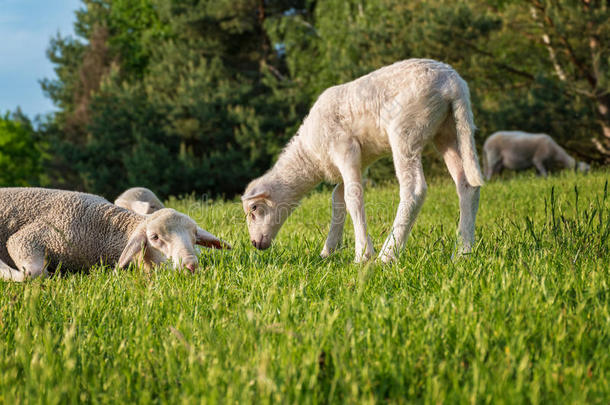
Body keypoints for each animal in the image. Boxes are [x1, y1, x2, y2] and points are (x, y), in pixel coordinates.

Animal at [240, 58, 482, 264]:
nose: (255, 244)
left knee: (414, 189)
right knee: (467, 186)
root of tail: (452, 82)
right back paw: (463, 252)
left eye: (254, 208)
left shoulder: (345, 148)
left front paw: (363, 255)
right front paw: (328, 251)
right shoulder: (357, 162)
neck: (309, 155)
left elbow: (353, 197)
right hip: (449, 130)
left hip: (407, 129)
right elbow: (337, 199)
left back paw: (387, 255)